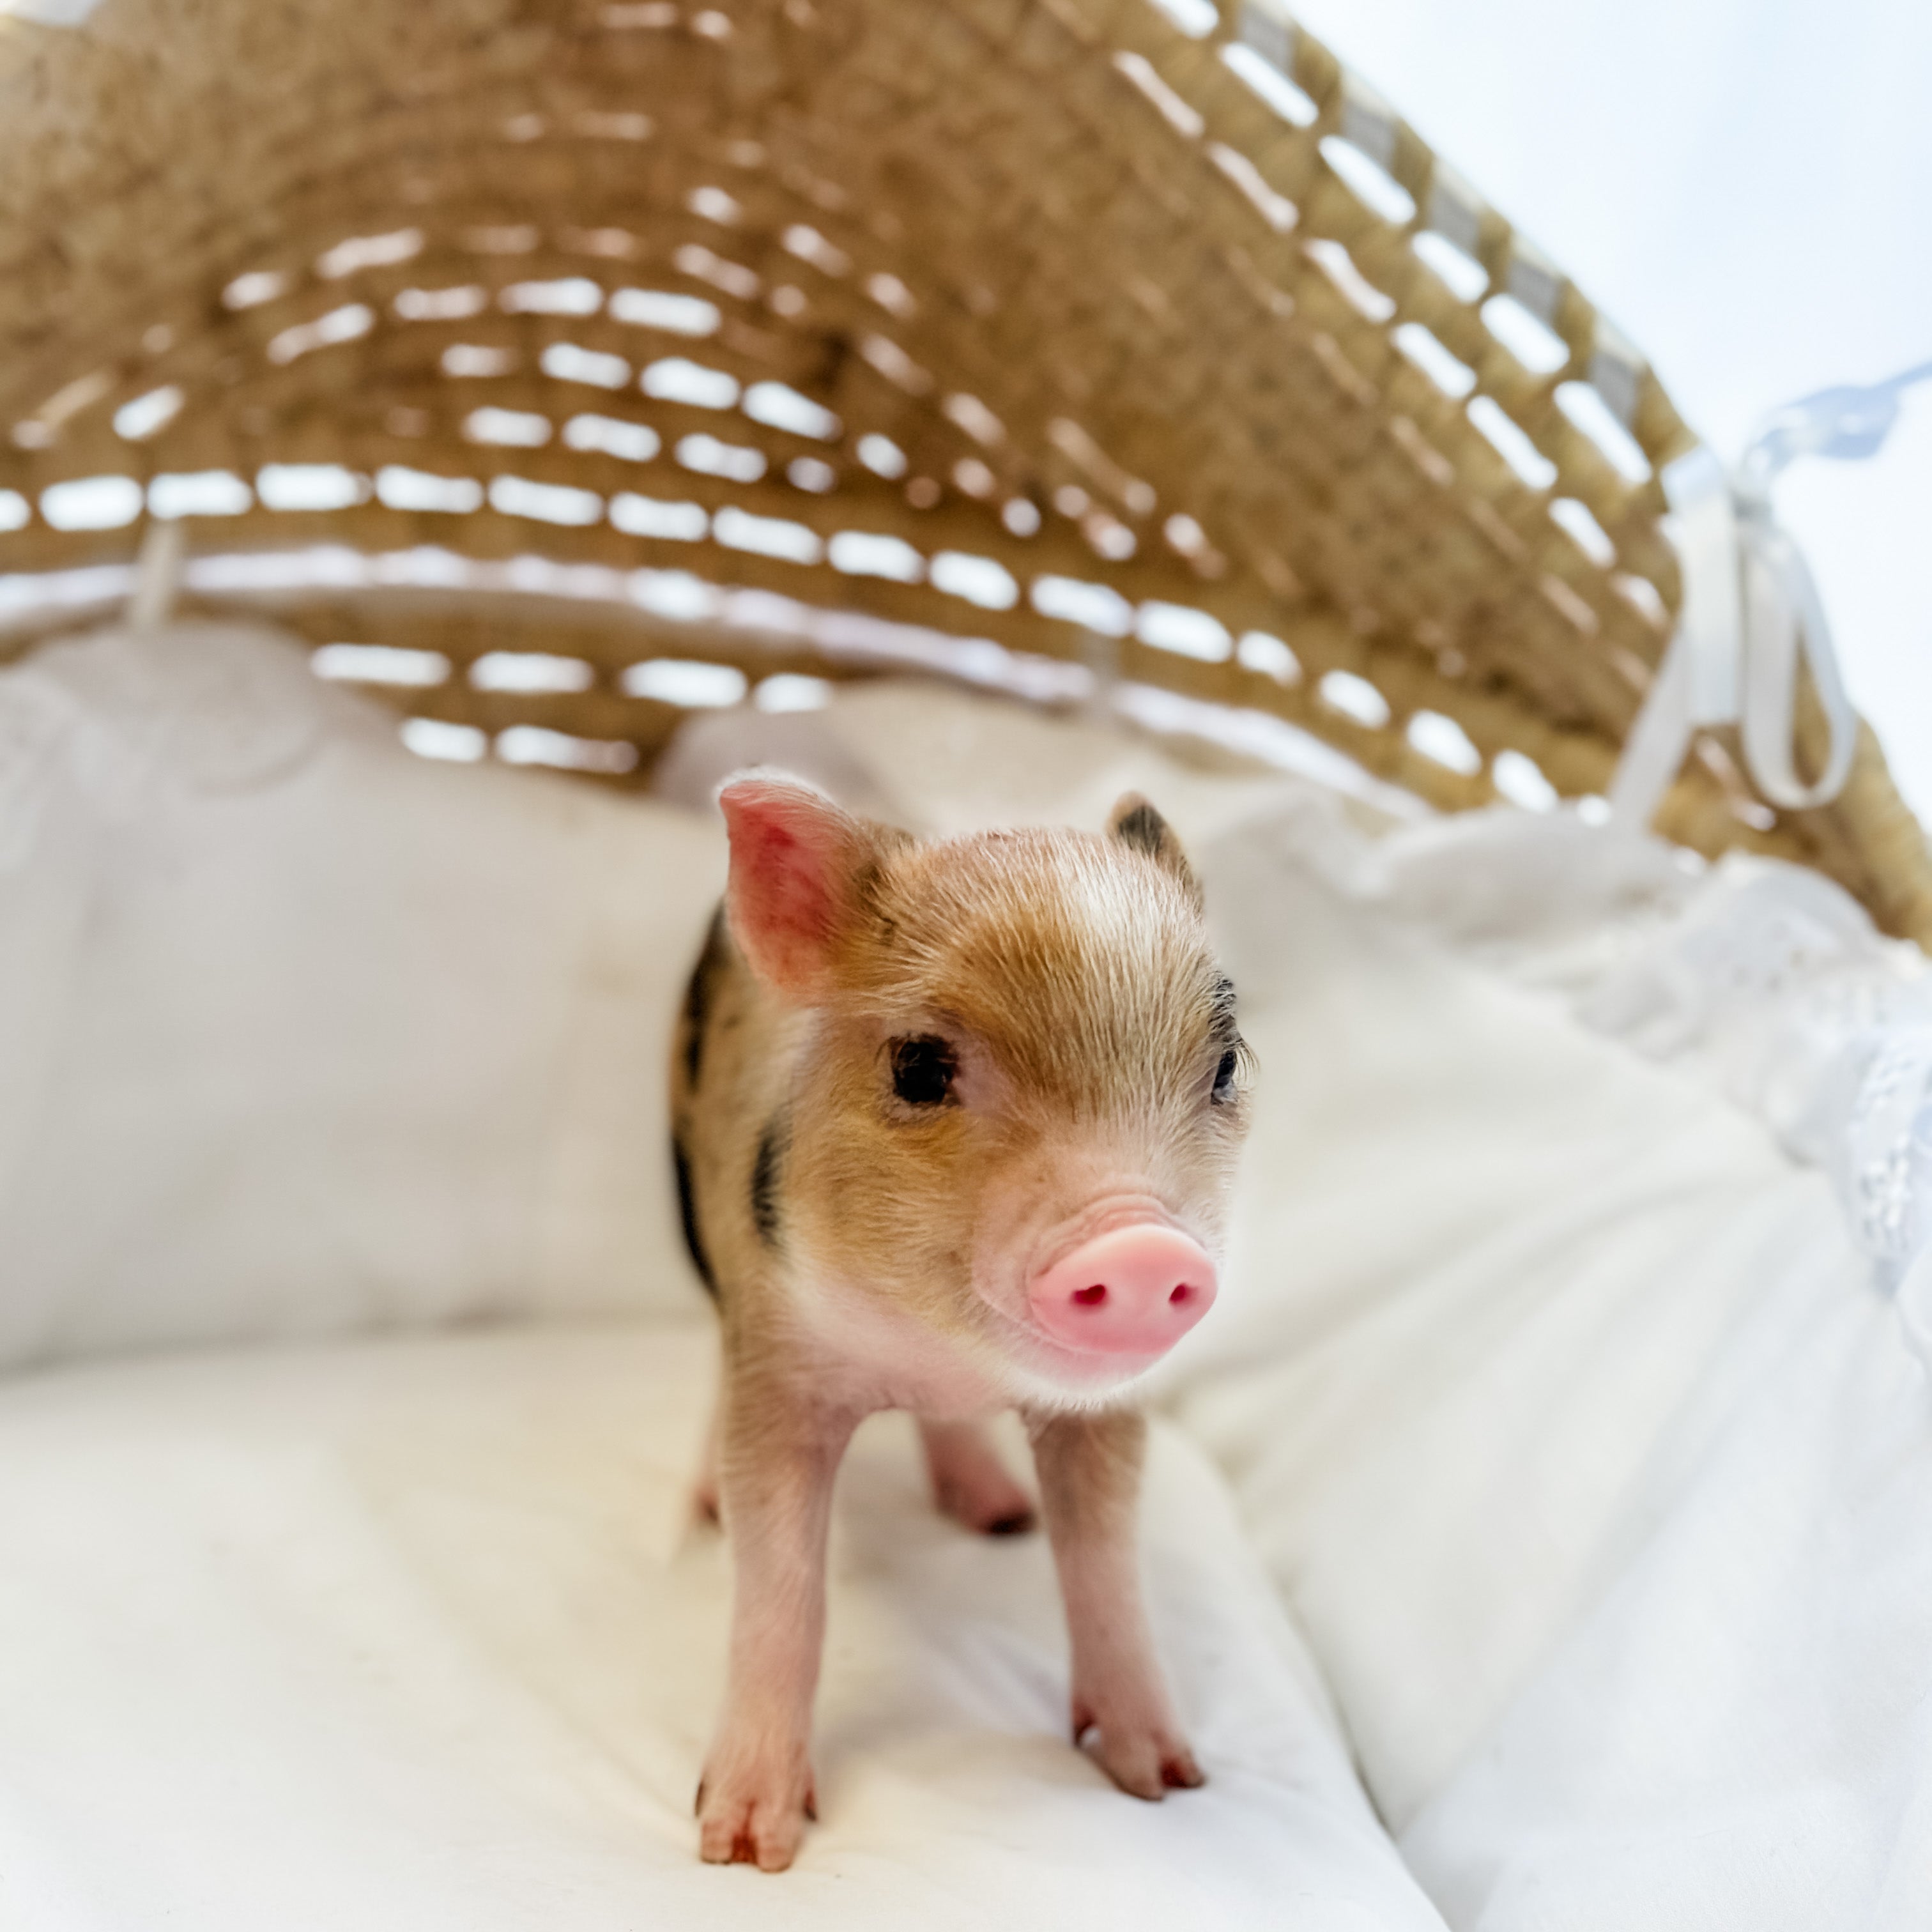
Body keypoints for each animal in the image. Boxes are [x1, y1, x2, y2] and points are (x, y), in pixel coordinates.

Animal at [670, 773, 1252, 1870]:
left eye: (1227, 1064)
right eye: (919, 1068)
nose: (1143, 1250)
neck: (938, 1357)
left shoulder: (1105, 1410)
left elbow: (1105, 1568)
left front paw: (1169, 1782)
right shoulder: (781, 1360)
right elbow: (782, 1584)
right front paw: (742, 1848)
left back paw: (998, 1514)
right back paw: (703, 1508)